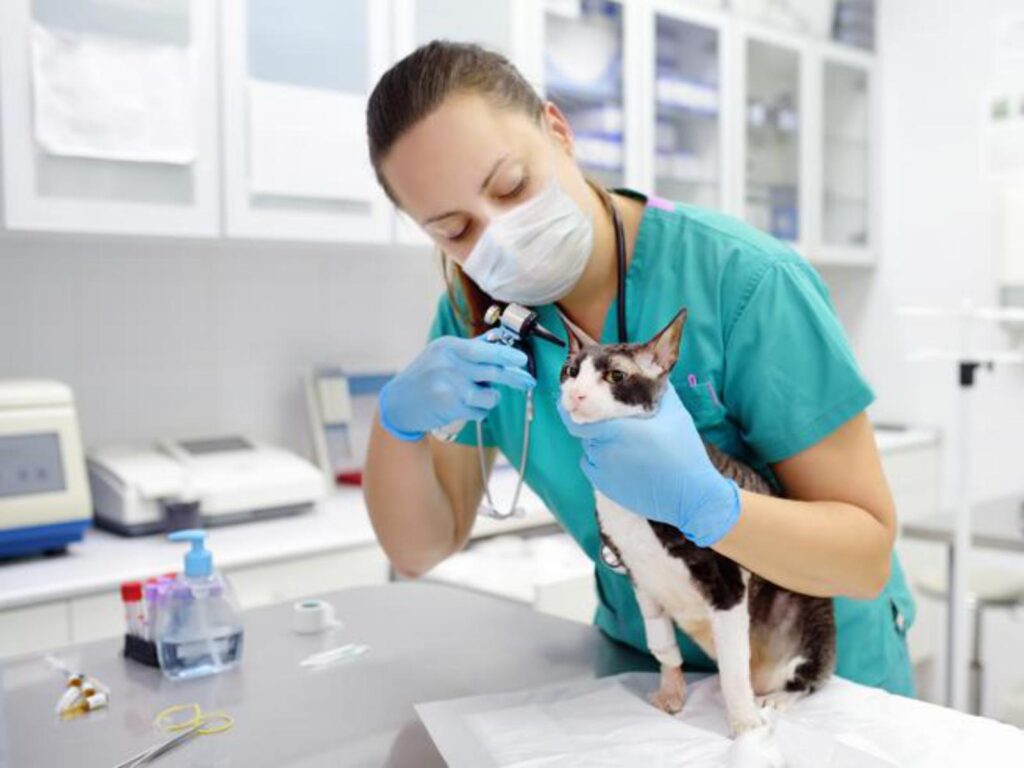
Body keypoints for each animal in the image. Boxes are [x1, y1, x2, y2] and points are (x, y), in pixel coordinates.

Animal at [561, 309, 839, 737]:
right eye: (571, 371)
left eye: (615, 376)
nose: (575, 394)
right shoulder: (641, 579)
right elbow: (661, 643)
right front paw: (671, 691)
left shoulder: (727, 584)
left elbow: (733, 669)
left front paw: (744, 725)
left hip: (807, 613)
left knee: (807, 677)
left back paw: (777, 698)